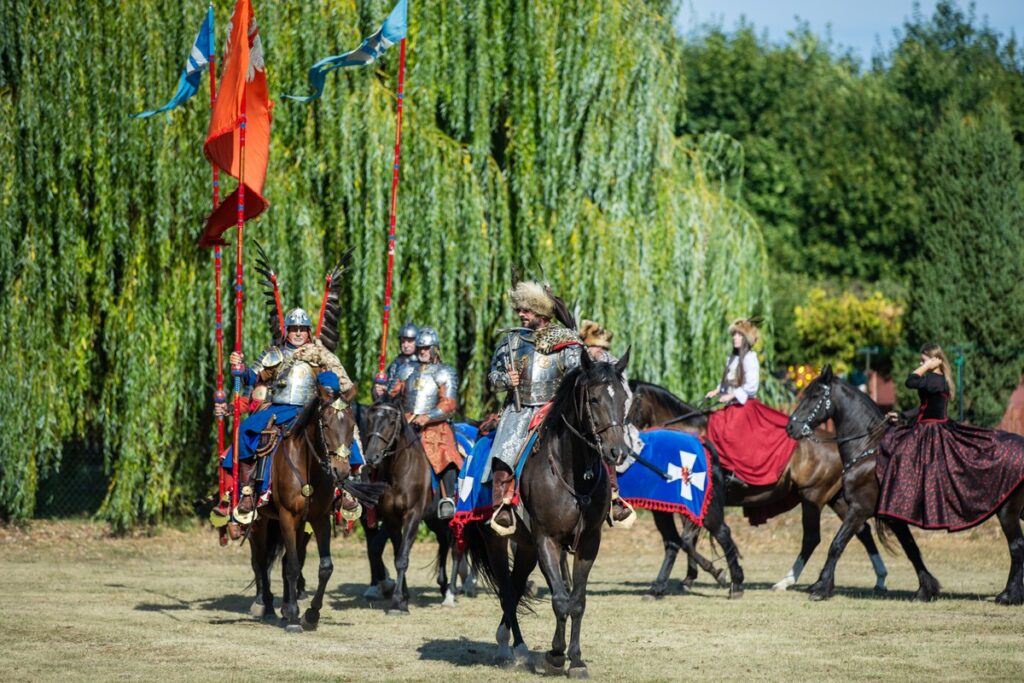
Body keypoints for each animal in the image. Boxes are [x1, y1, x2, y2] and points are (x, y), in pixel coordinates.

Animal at [245, 397, 358, 634]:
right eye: (326, 425)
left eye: (352, 426)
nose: (341, 471)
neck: (308, 468)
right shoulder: (287, 517)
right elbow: (293, 566)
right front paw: (295, 618)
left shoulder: (319, 519)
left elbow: (324, 567)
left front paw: (310, 614)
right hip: (262, 522)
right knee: (261, 561)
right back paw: (267, 606)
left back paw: (284, 608)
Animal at [356, 395, 460, 614]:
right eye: (370, 419)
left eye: (391, 422)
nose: (371, 457)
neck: (400, 471)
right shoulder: (391, 518)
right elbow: (397, 554)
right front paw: (402, 596)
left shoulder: (412, 515)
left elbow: (403, 557)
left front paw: (397, 602)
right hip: (434, 519)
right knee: (444, 542)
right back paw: (443, 584)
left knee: (456, 548)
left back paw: (450, 594)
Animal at [468, 352, 634, 679]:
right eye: (594, 399)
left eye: (623, 398)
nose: (617, 452)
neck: (571, 471)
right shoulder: (547, 540)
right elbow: (559, 599)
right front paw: (556, 656)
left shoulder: (588, 543)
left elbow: (577, 601)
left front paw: (577, 660)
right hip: (497, 541)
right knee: (507, 590)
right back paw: (512, 649)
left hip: (526, 548)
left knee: (516, 586)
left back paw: (513, 644)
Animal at [626, 382, 884, 593]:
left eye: (628, 401)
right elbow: (689, 539)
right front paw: (693, 577)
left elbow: (688, 539)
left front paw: (711, 574)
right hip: (835, 499)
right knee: (861, 531)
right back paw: (878, 578)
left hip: (813, 498)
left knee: (812, 538)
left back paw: (787, 581)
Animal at [782, 368, 1024, 602]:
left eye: (815, 395)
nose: (790, 427)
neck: (868, 450)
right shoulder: (894, 518)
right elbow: (911, 548)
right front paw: (926, 589)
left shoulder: (859, 509)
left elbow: (836, 544)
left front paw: (821, 587)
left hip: (1007, 512)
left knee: (1016, 546)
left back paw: (1008, 595)